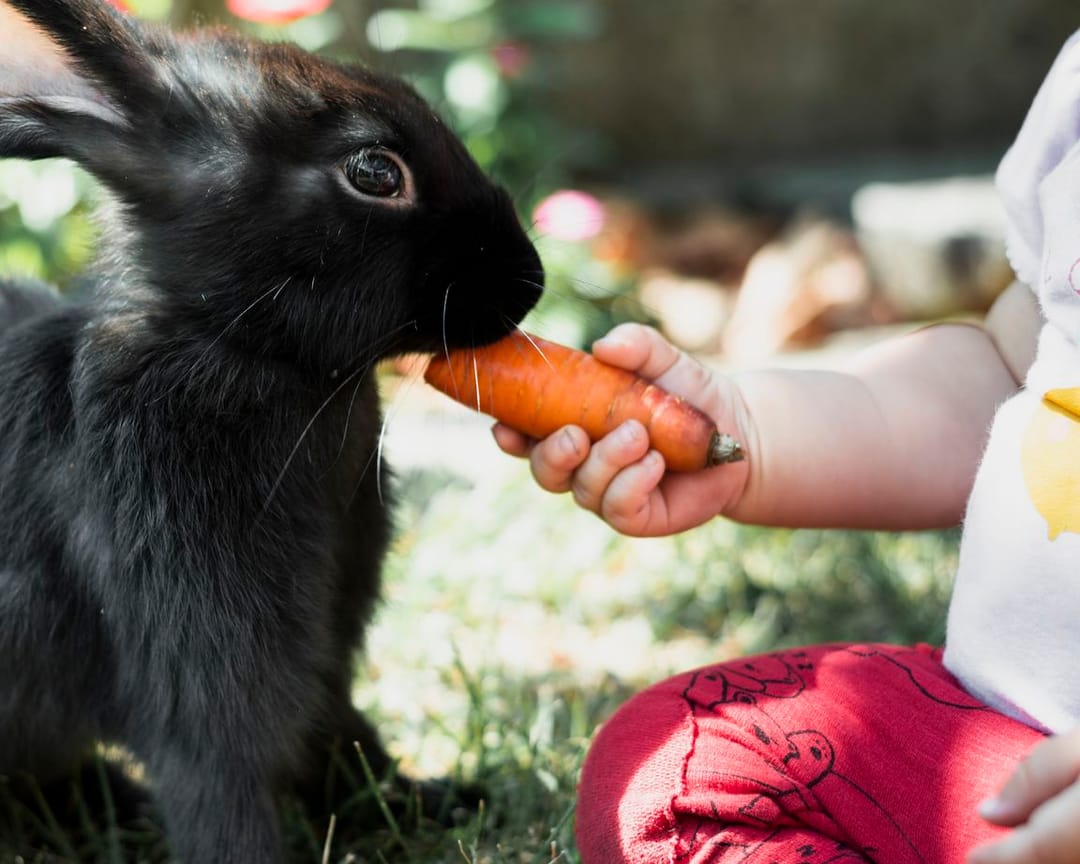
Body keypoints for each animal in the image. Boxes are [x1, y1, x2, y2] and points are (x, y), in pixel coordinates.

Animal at [0, 0, 544, 860]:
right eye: (375, 172)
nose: (532, 279)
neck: (243, 350)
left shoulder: (327, 645)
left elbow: (339, 729)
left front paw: (431, 803)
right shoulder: (204, 676)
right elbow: (220, 789)